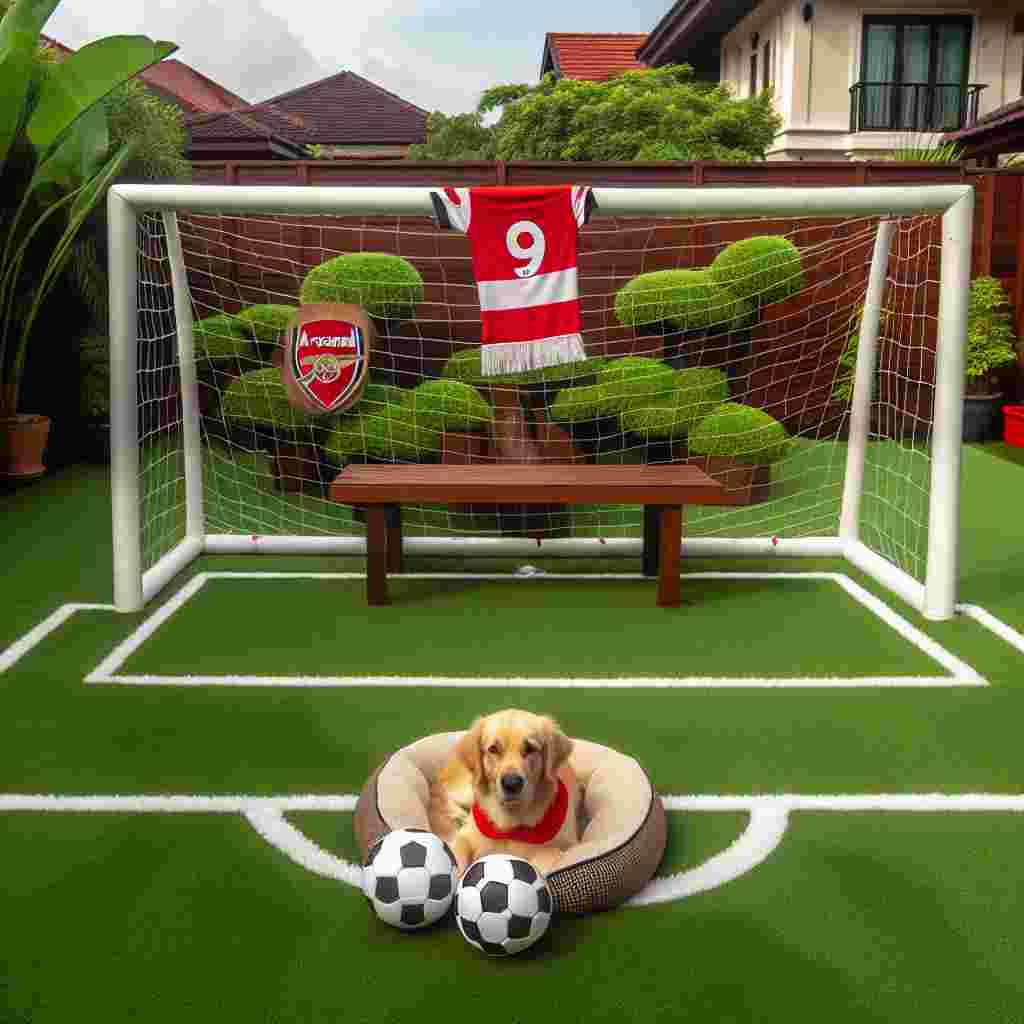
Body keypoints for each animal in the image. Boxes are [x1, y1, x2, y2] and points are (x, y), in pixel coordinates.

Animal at [428, 708, 581, 876]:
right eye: (493, 749)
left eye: (530, 749)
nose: (511, 783)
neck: (510, 822)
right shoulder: (466, 835)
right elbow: (457, 852)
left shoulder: (567, 845)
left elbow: (548, 854)